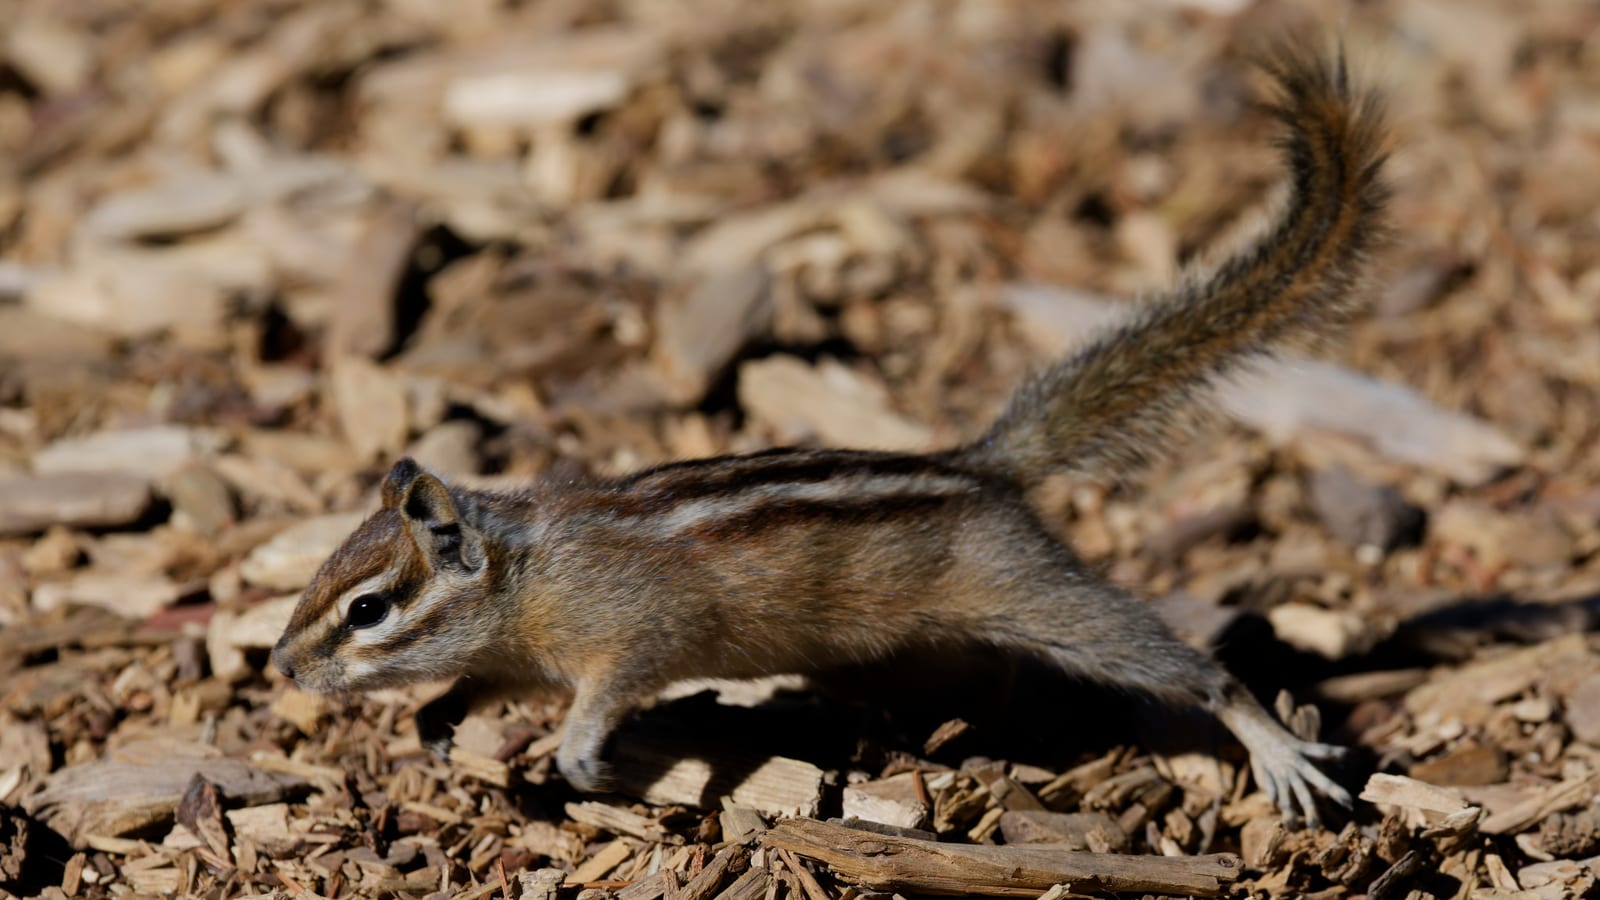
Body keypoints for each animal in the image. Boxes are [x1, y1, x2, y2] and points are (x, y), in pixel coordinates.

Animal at [272, 46, 1388, 827]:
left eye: (368, 609)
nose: (280, 667)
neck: (526, 573)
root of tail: (974, 467)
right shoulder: (519, 655)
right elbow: (476, 686)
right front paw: (437, 718)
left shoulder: (633, 632)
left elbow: (615, 685)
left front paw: (581, 752)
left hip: (1031, 593)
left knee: (1187, 665)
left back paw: (1273, 745)